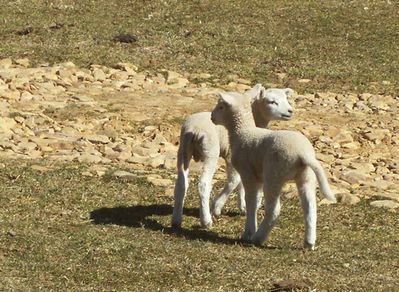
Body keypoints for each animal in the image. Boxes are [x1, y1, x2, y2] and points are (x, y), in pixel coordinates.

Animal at [170, 83, 296, 229]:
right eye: (272, 102)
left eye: (286, 99)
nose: (290, 111)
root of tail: (194, 130)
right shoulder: (231, 155)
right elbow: (234, 181)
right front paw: (217, 207)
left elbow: (241, 182)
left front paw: (242, 206)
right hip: (210, 152)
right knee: (204, 184)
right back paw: (206, 220)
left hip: (183, 151)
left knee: (181, 183)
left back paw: (176, 219)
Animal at [211, 90, 336, 249]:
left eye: (221, 107)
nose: (212, 117)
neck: (243, 132)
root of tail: (303, 154)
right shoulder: (257, 176)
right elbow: (256, 201)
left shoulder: (248, 173)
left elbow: (251, 201)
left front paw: (248, 232)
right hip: (306, 176)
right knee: (310, 207)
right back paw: (309, 242)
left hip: (274, 174)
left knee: (274, 210)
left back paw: (258, 238)